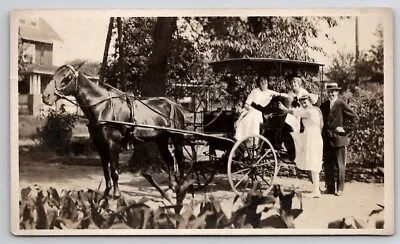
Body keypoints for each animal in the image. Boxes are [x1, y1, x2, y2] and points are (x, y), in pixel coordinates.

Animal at [41, 63, 185, 198]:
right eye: (54, 75)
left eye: (67, 77)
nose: (45, 96)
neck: (103, 107)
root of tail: (175, 105)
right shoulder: (100, 145)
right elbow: (106, 171)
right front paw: (106, 192)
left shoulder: (113, 143)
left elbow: (114, 171)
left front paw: (116, 194)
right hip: (161, 139)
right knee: (169, 160)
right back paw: (171, 187)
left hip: (176, 138)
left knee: (180, 159)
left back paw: (181, 185)